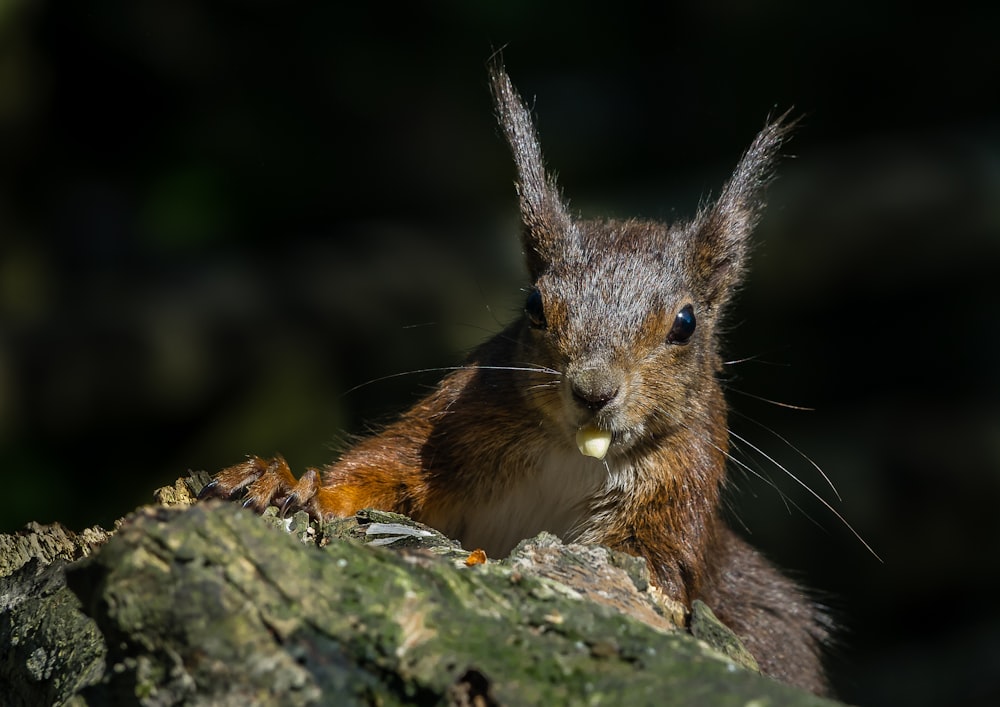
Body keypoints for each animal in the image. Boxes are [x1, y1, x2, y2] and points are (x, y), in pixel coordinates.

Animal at [199, 62, 832, 696]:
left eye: (685, 323)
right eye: (534, 305)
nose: (593, 391)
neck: (574, 455)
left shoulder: (679, 491)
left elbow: (659, 573)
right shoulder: (455, 427)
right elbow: (380, 473)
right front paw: (281, 481)